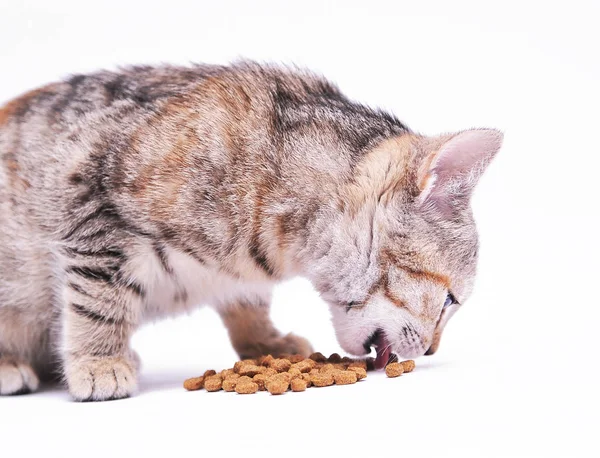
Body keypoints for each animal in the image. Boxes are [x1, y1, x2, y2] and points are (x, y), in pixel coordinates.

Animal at [0, 61, 502, 400]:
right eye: (450, 300)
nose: (432, 350)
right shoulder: (94, 209)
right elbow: (99, 302)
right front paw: (99, 360)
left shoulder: (243, 273)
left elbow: (248, 301)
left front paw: (265, 341)